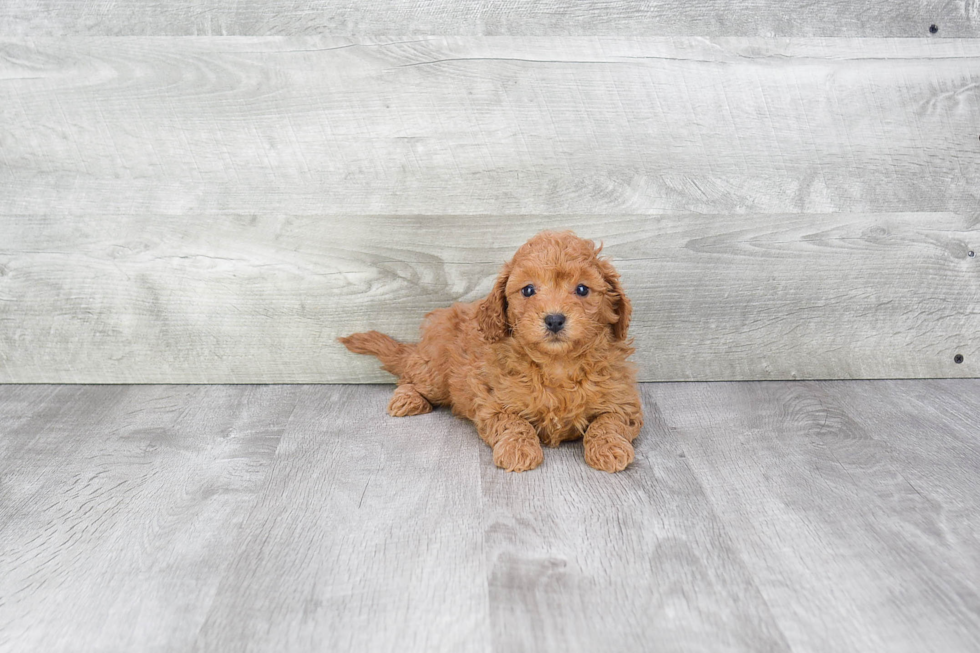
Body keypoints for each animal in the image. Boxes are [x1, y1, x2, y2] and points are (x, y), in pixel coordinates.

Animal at [338, 232, 644, 472]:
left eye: (582, 289)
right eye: (528, 290)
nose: (555, 319)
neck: (557, 363)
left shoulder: (624, 401)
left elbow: (608, 422)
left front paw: (609, 449)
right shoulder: (494, 401)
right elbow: (513, 423)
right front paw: (519, 449)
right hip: (435, 372)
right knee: (411, 378)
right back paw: (408, 399)